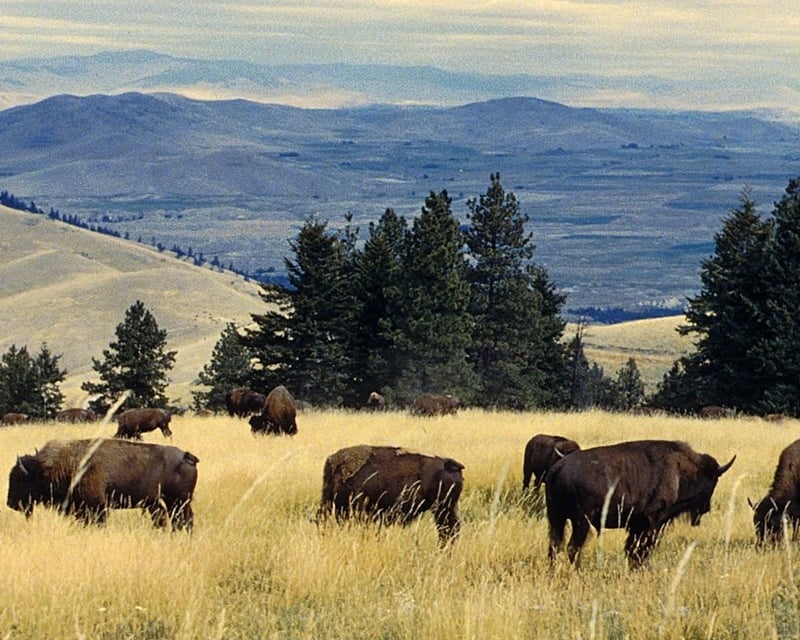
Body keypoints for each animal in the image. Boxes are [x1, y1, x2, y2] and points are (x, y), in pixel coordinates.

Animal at [7, 438, 198, 530]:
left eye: (19, 479)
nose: (10, 503)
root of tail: (186, 456)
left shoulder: (97, 506)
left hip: (179, 500)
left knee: (184, 519)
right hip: (166, 502)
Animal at [545, 439, 735, 568]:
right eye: (713, 481)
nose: (706, 508)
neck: (680, 471)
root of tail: (558, 469)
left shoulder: (637, 525)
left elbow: (632, 550)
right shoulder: (653, 522)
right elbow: (642, 549)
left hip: (556, 519)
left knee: (554, 546)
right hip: (580, 522)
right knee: (572, 548)